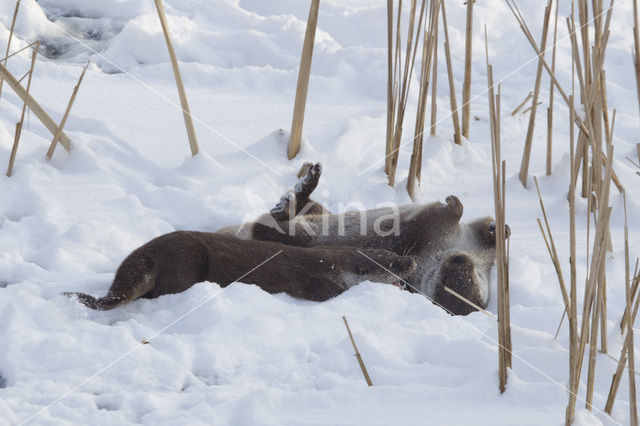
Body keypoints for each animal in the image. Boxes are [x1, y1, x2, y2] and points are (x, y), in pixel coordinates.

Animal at [220, 163, 510, 316]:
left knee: (268, 223)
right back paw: (307, 182)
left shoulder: (428, 235)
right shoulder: (474, 244)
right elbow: (482, 228)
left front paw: (452, 205)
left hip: (295, 233)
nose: (458, 259)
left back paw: (291, 198)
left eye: (456, 282)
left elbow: (431, 218)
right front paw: (499, 227)